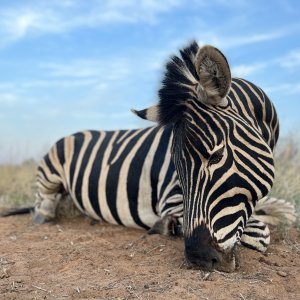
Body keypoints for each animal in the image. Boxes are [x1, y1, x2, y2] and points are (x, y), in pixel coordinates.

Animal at [0, 40, 296, 272]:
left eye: (216, 156)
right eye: (176, 166)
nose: (199, 259)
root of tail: (76, 132)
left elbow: (285, 212)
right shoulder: (170, 198)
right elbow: (261, 233)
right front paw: (167, 226)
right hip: (50, 170)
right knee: (43, 202)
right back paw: (44, 214)